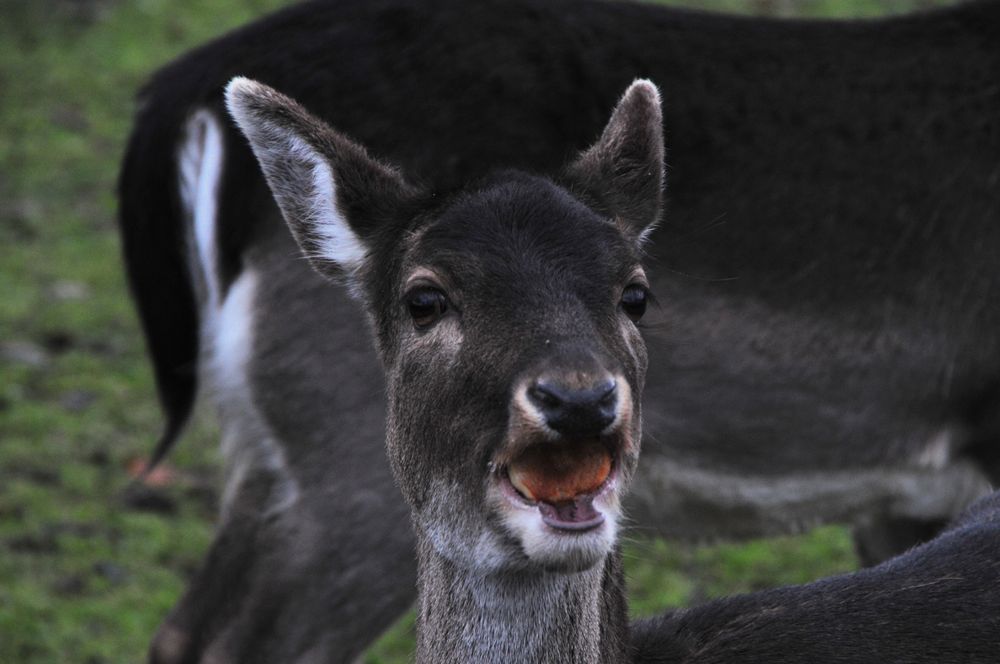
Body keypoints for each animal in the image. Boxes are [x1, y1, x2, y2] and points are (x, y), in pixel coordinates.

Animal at [123, 0, 1000, 660]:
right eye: (423, 299)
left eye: (637, 293)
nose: (578, 399)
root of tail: (178, 91)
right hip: (338, 461)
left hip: (271, 447)